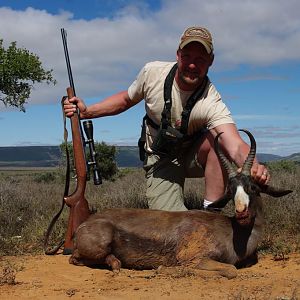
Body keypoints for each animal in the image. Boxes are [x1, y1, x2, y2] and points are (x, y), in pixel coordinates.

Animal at [69, 129, 292, 278]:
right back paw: (116, 265)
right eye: (230, 191)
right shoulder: (195, 259)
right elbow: (230, 270)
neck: (233, 232)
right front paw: (163, 269)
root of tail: (83, 225)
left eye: (252, 187)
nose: (241, 212)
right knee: (75, 258)